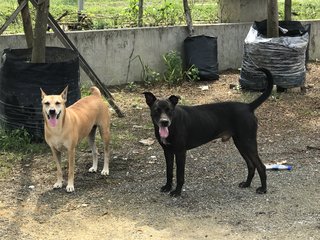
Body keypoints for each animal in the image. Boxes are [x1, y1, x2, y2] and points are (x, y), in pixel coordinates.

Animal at [144, 67, 274, 197]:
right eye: (156, 110)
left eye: (169, 110)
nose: (164, 122)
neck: (173, 125)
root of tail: (248, 106)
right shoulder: (168, 152)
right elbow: (169, 172)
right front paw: (167, 187)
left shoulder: (180, 152)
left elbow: (180, 175)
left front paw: (177, 191)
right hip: (241, 143)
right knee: (251, 165)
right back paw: (247, 184)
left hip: (247, 142)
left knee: (261, 166)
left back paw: (263, 189)